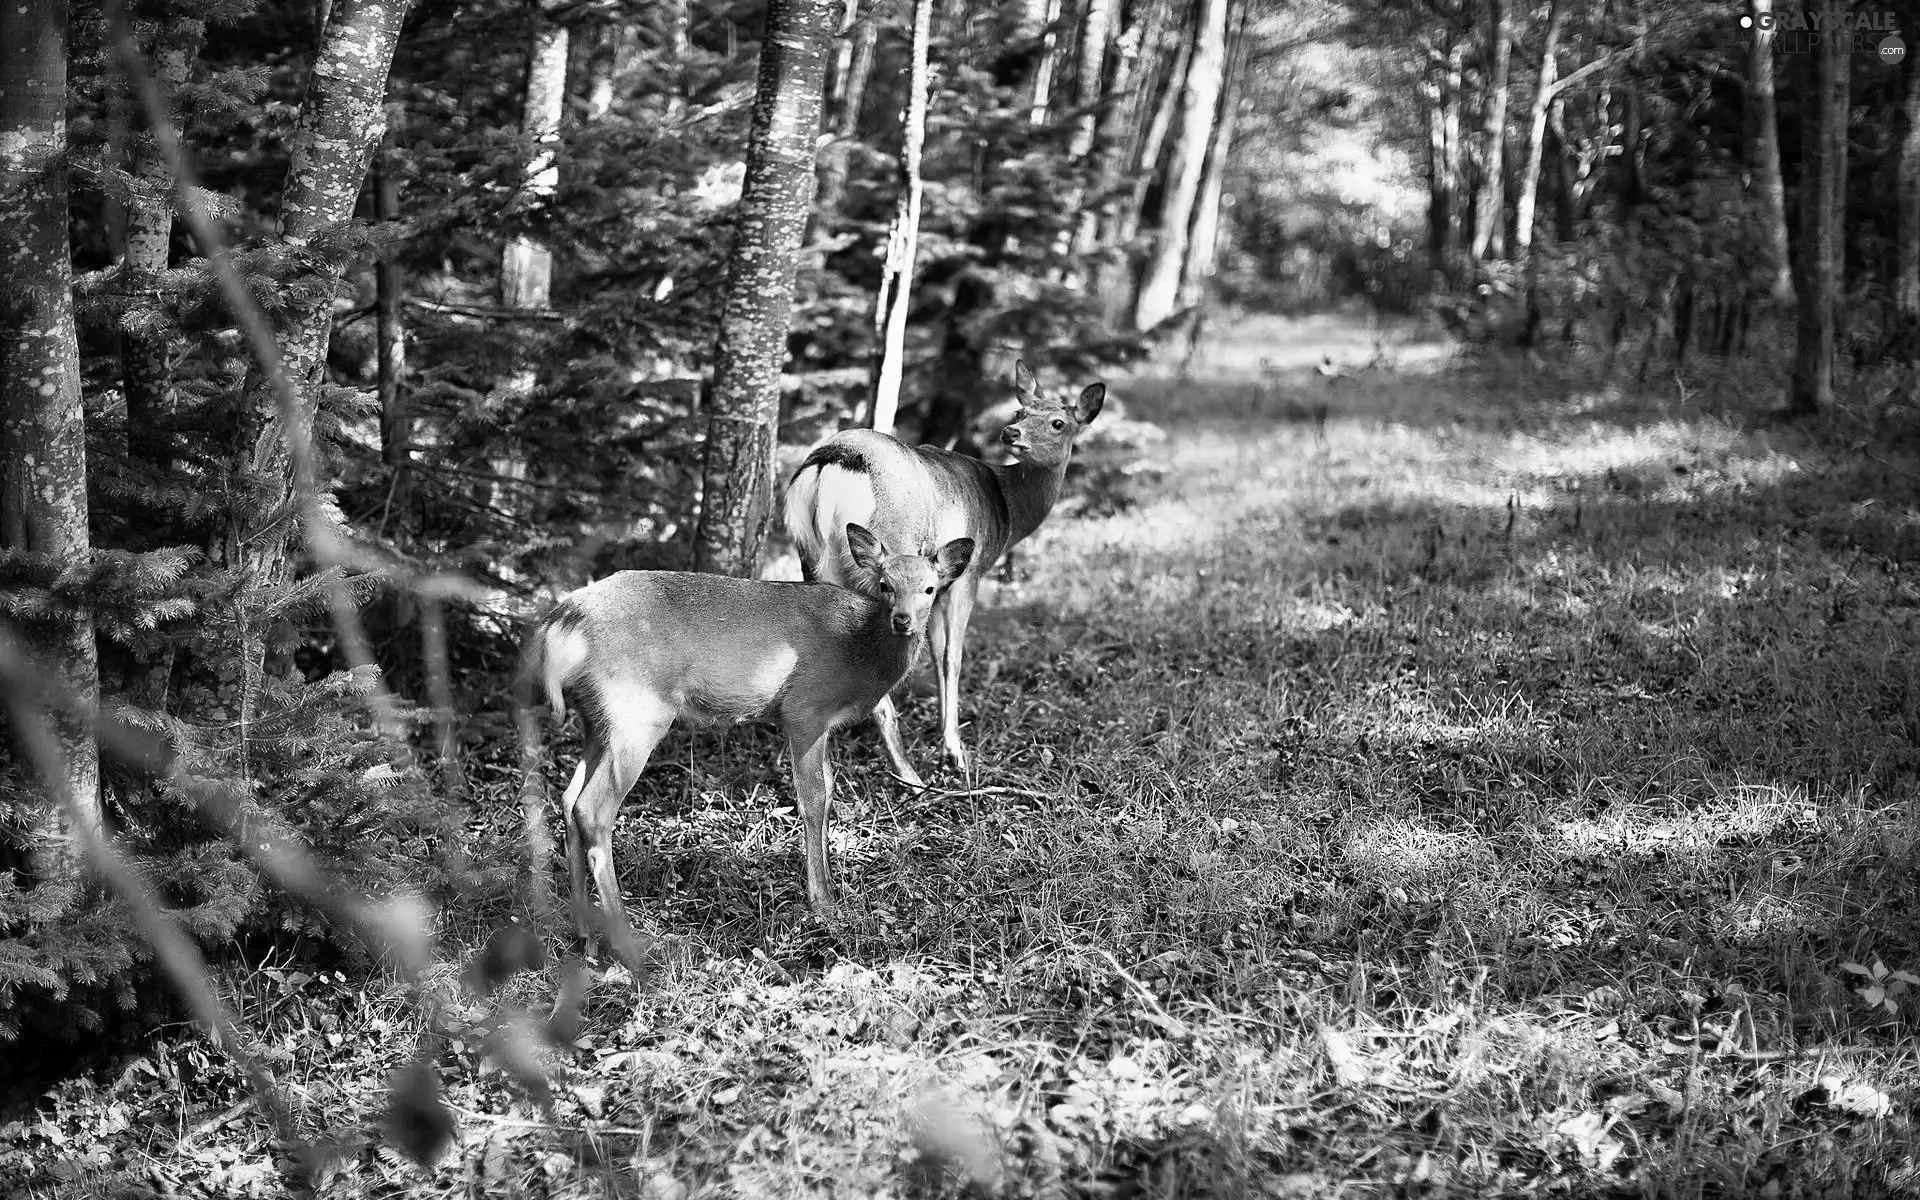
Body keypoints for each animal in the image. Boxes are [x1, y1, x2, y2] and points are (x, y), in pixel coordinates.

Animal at [526, 518, 975, 940]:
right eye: (885, 585)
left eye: (930, 588)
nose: (903, 620)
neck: (861, 652)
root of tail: (561, 621)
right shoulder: (805, 709)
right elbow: (813, 799)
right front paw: (823, 902)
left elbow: (829, 791)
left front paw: (830, 890)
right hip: (636, 711)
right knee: (593, 808)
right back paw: (626, 937)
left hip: (596, 719)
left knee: (568, 798)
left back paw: (582, 932)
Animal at [783, 355, 1113, 787]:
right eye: (1021, 412)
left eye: (1057, 422)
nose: (1011, 431)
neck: (1006, 510)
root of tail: (831, 462)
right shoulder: (966, 575)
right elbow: (951, 657)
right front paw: (954, 749)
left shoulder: (936, 588)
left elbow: (939, 653)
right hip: (889, 555)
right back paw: (908, 773)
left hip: (812, 557)